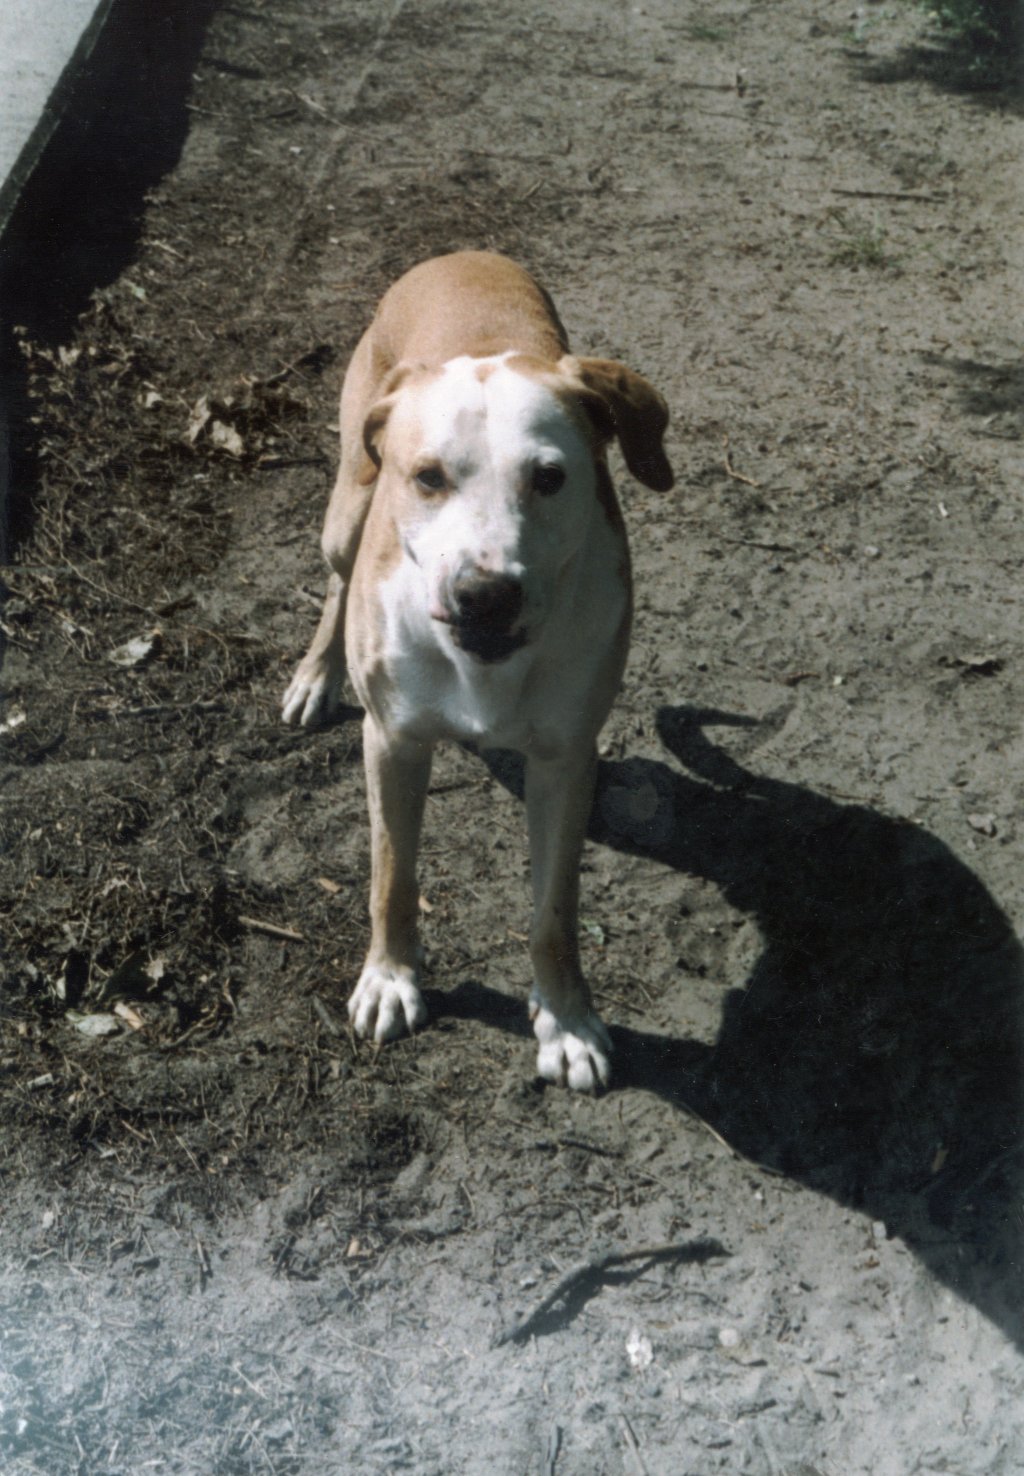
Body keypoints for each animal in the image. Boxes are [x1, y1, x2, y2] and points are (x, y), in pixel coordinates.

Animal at [284, 250, 678, 1086]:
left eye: (551, 477)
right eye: (428, 477)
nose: (485, 595)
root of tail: (461, 253)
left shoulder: (567, 759)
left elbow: (554, 913)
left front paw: (566, 1021)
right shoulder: (392, 742)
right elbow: (392, 878)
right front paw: (389, 978)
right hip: (347, 502)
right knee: (336, 576)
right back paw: (315, 676)